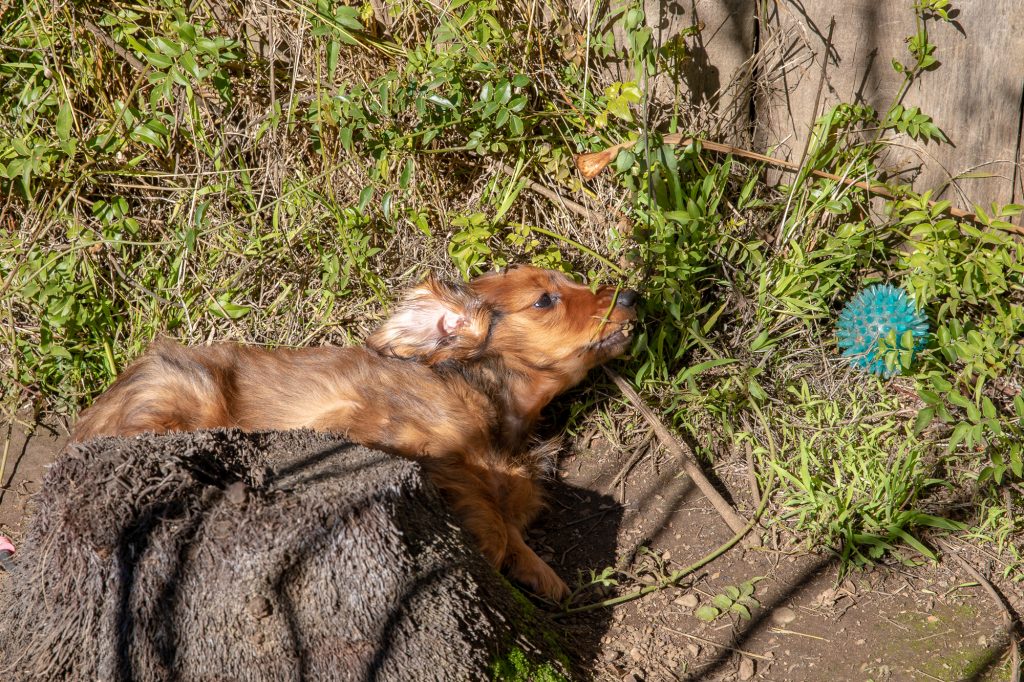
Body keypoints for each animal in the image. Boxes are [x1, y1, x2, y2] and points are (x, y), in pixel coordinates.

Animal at [72, 264, 634, 593]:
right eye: (545, 300)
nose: (631, 295)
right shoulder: (367, 427)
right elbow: (481, 503)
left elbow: (510, 516)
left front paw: (540, 572)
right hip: (187, 394)